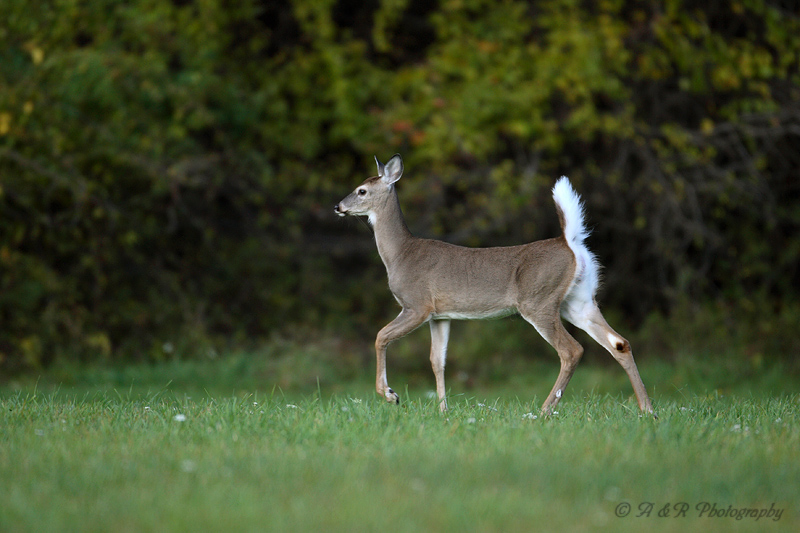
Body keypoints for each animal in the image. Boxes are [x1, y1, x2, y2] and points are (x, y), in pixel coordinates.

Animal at [334, 153, 652, 416]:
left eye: (362, 190)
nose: (337, 206)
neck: (400, 254)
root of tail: (571, 244)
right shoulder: (441, 315)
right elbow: (437, 360)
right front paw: (443, 410)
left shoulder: (417, 304)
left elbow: (381, 336)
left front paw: (390, 394)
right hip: (579, 301)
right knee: (619, 343)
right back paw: (647, 410)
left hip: (538, 300)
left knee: (571, 350)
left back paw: (543, 411)